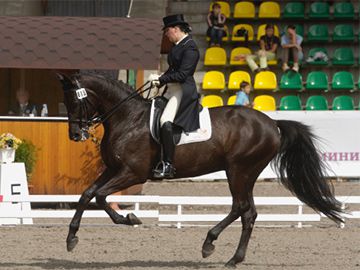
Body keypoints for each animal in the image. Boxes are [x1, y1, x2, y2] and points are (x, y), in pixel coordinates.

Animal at [57, 72, 342, 268]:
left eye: (75, 101)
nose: (75, 135)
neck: (128, 119)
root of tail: (273, 124)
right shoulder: (113, 169)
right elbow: (87, 194)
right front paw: (71, 239)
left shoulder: (131, 173)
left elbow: (100, 197)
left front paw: (130, 218)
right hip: (245, 173)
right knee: (248, 213)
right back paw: (233, 258)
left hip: (239, 170)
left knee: (240, 207)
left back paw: (210, 243)